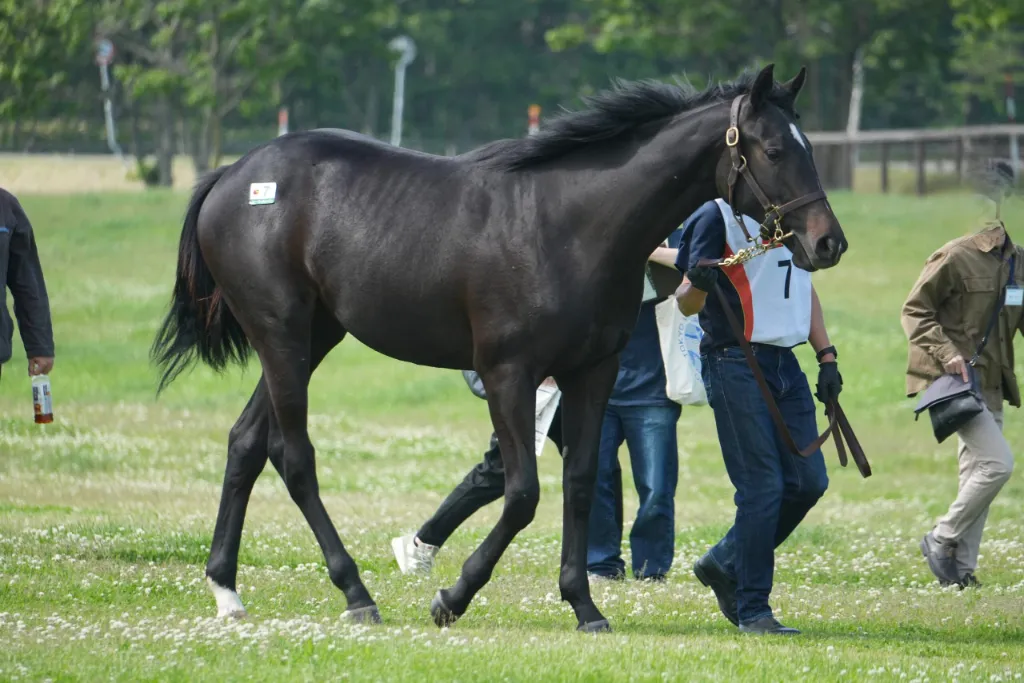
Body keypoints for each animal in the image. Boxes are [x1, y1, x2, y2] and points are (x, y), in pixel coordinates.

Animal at [151, 63, 847, 633]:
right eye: (776, 149)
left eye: (810, 148)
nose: (828, 242)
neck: (569, 226)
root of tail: (233, 176)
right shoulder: (510, 375)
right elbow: (522, 494)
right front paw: (452, 597)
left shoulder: (592, 373)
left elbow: (579, 482)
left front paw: (584, 605)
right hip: (283, 335)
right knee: (293, 456)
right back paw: (355, 593)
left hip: (313, 336)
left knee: (246, 442)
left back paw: (226, 591)